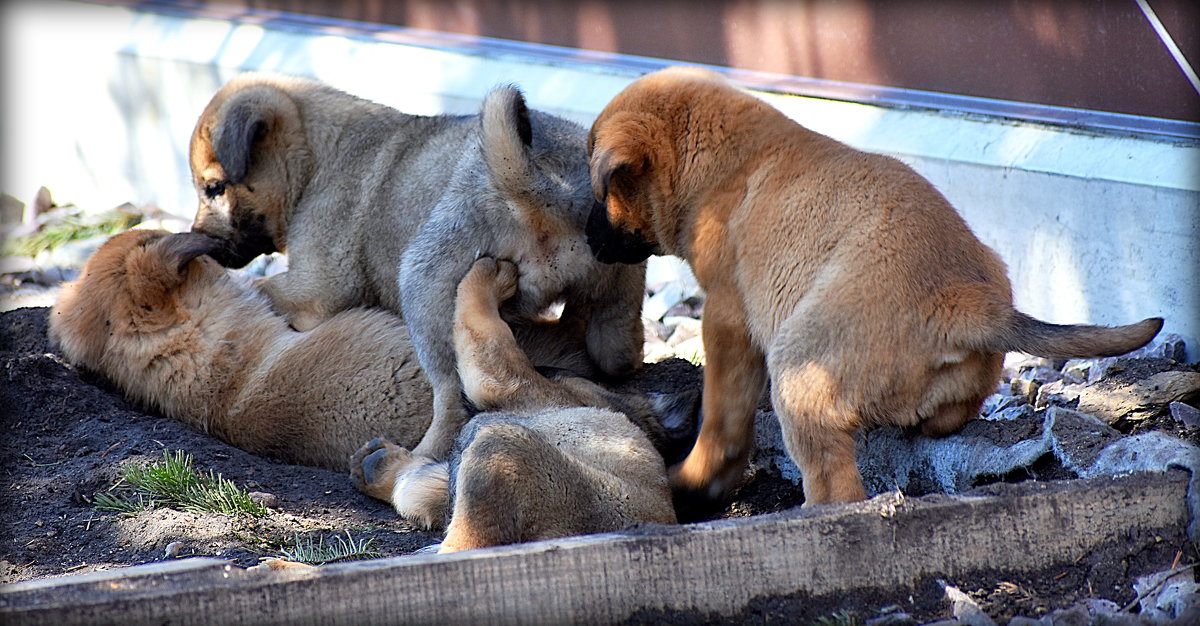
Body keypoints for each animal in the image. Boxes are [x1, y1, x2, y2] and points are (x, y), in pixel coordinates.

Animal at [348, 255, 696, 542]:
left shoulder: (513, 383)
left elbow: (485, 328)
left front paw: (491, 272)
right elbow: (422, 481)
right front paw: (378, 464)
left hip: (502, 450)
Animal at [580, 65, 1161, 508]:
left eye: (601, 191)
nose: (585, 236)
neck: (726, 162)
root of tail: (959, 299)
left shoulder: (727, 319)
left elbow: (721, 419)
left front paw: (696, 481)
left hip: (798, 361)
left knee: (835, 481)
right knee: (949, 413)